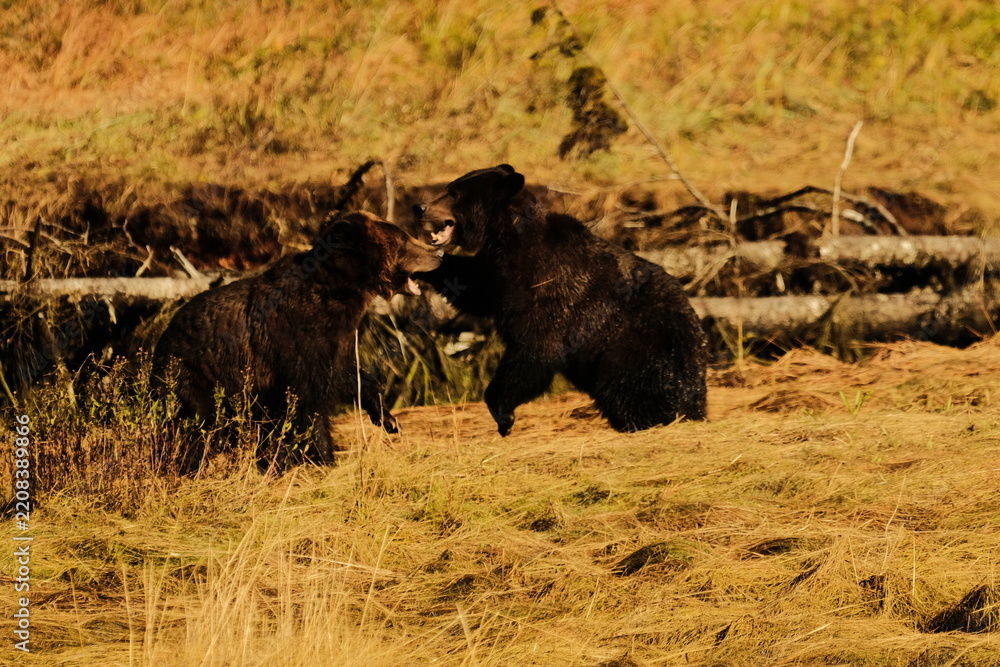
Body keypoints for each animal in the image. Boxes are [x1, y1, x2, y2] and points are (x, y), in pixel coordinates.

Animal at [153, 211, 441, 473]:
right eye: (403, 238)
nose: (437, 253)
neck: (343, 296)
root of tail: (162, 339)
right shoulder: (295, 340)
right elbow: (309, 404)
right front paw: (321, 457)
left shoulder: (339, 340)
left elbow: (350, 376)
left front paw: (388, 419)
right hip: (197, 374)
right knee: (198, 425)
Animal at [413, 164, 707, 435]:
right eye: (450, 186)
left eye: (454, 193)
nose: (420, 207)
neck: (509, 238)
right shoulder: (500, 276)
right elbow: (474, 287)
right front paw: (423, 262)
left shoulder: (550, 286)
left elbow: (536, 348)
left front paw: (503, 413)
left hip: (639, 350)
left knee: (635, 393)